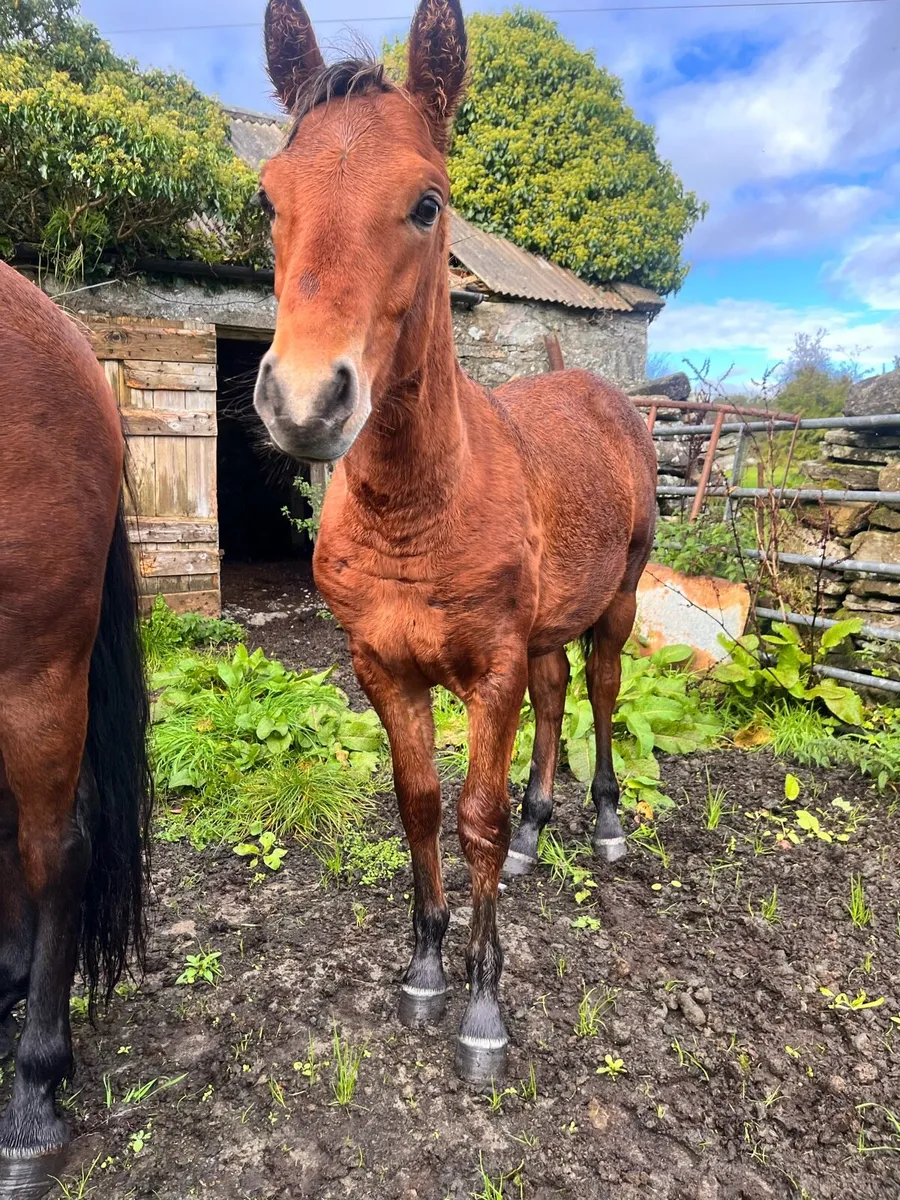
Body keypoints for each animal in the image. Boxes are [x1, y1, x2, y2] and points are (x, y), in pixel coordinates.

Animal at [255, 0, 658, 1084]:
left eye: (428, 204)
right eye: (269, 199)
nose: (304, 401)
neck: (417, 509)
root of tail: (597, 388)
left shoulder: (490, 671)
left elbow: (472, 816)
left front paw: (484, 1008)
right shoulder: (381, 667)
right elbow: (421, 805)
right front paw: (427, 969)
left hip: (617, 600)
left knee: (600, 692)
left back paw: (603, 825)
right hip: (551, 625)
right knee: (559, 698)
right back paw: (539, 830)